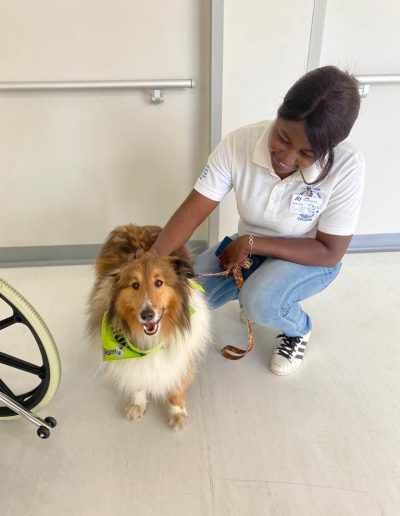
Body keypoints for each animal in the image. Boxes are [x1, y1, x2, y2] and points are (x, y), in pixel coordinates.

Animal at [86, 224, 211, 430]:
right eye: (135, 285)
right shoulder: (135, 361)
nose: (147, 315)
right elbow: (138, 377)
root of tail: (137, 226)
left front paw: (177, 413)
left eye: (159, 282)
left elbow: (177, 385)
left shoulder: (182, 355)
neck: (150, 341)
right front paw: (138, 404)